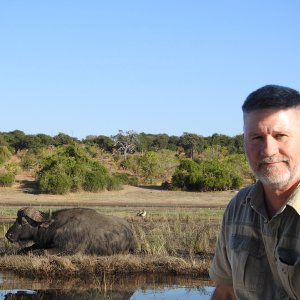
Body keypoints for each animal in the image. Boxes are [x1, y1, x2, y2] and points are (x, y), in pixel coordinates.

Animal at [5, 207, 137, 254]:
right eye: (16, 219)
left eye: (23, 222)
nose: (8, 235)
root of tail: (130, 232)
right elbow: (26, 249)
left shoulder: (68, 250)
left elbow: (43, 252)